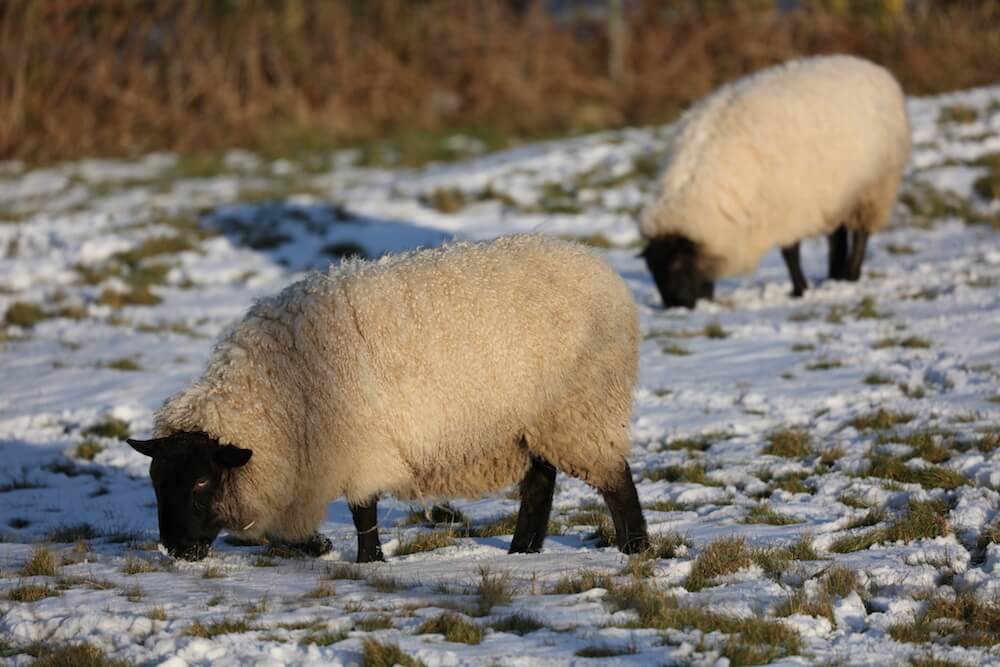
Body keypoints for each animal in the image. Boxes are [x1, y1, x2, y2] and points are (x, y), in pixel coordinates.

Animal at [127, 235, 648, 564]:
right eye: (154, 482)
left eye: (201, 483)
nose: (174, 550)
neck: (280, 394)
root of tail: (601, 268)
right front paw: (317, 548)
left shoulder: (357, 445)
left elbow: (363, 511)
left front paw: (368, 562)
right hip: (532, 417)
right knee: (540, 482)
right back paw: (523, 552)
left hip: (580, 404)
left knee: (615, 480)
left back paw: (635, 549)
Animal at [640, 55, 916, 310]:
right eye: (652, 269)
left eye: (678, 265)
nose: (676, 307)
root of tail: (874, 67)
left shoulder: (788, 209)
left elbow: (789, 254)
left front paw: (799, 290)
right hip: (838, 192)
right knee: (837, 236)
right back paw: (834, 276)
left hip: (875, 187)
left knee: (861, 234)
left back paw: (850, 276)